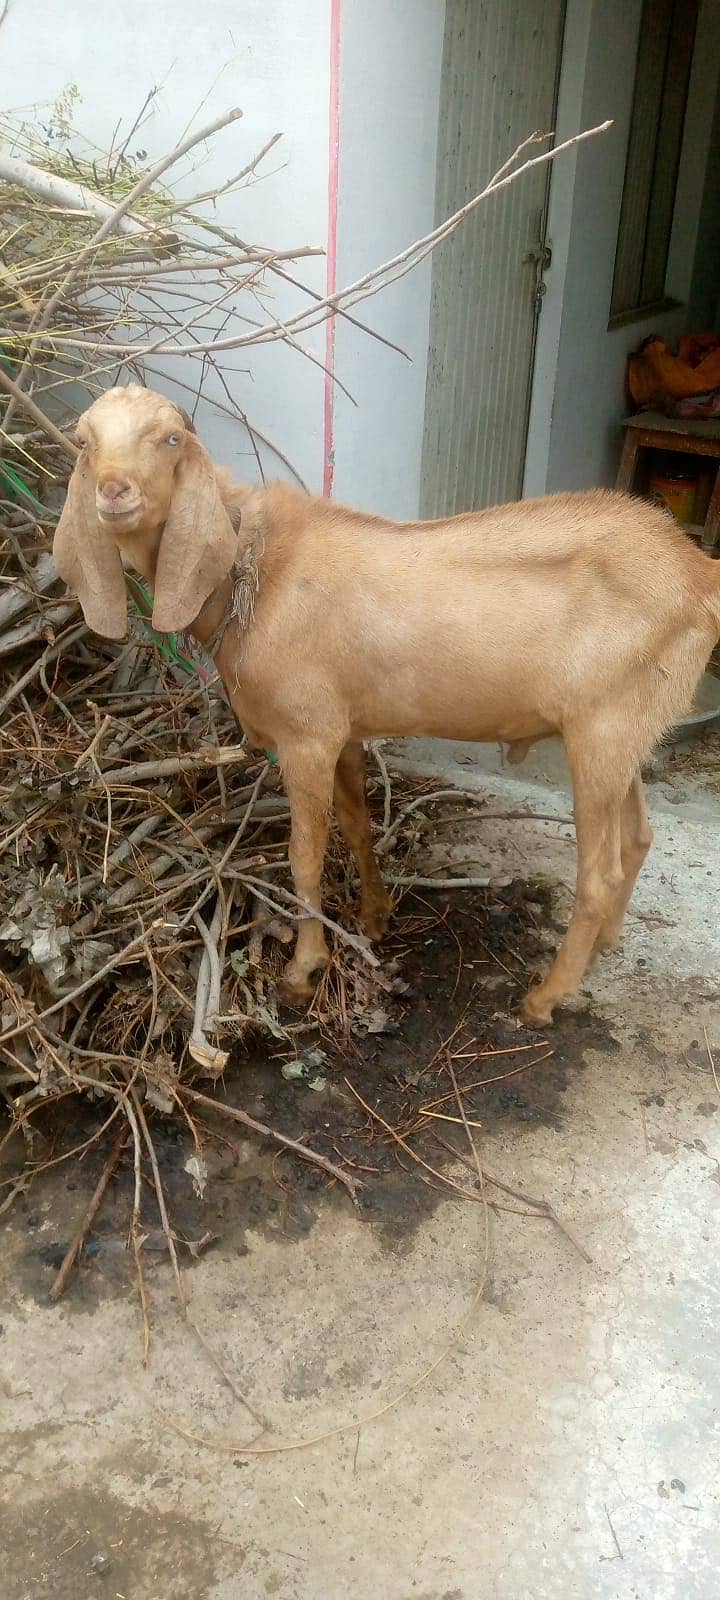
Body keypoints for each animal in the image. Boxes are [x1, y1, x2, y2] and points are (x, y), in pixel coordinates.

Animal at [53, 384, 720, 1024]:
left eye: (169, 437)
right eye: (84, 440)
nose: (113, 491)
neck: (254, 569)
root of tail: (698, 574)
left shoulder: (307, 734)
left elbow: (305, 854)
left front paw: (304, 969)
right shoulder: (343, 728)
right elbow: (356, 825)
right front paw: (375, 917)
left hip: (601, 728)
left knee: (600, 874)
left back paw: (543, 999)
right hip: (627, 727)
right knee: (639, 837)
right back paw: (604, 945)